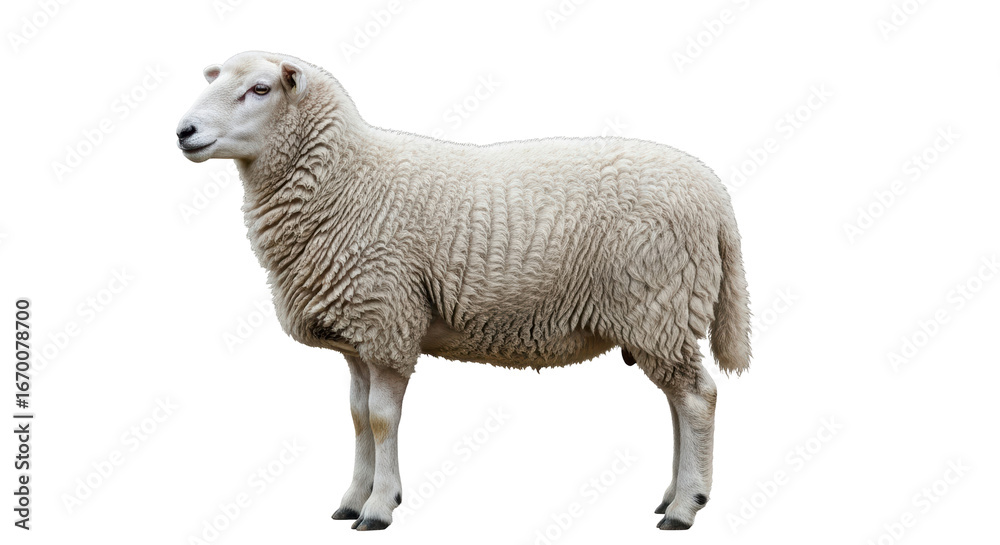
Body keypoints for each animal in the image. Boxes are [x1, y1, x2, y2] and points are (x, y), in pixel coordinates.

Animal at [176, 51, 751, 531]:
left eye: (260, 88)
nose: (184, 131)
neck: (348, 180)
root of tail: (714, 194)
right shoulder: (360, 335)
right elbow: (358, 419)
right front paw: (352, 500)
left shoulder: (389, 320)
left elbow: (382, 420)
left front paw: (379, 507)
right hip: (659, 318)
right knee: (677, 402)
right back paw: (673, 495)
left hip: (658, 303)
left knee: (697, 398)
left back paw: (685, 507)